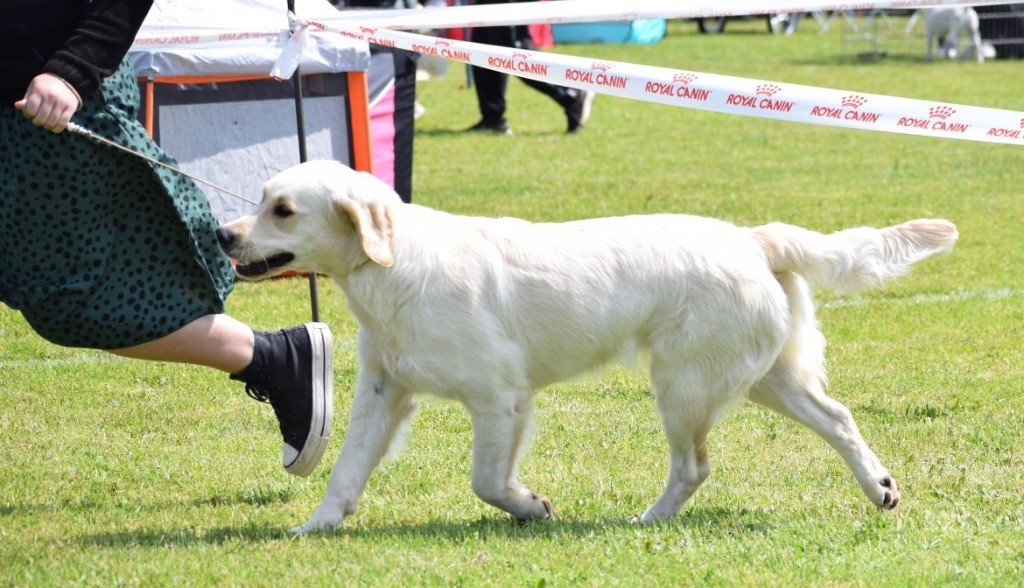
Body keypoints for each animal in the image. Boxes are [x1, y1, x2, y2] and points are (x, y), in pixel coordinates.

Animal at [217, 160, 958, 533]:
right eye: (260, 199)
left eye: (282, 209)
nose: (224, 235)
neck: (394, 265)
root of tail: (753, 237)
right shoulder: (383, 389)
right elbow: (346, 473)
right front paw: (315, 527)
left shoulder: (500, 396)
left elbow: (487, 480)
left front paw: (531, 507)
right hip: (764, 375)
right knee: (839, 419)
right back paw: (881, 489)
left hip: (685, 384)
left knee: (694, 466)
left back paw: (646, 519)